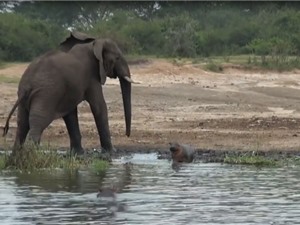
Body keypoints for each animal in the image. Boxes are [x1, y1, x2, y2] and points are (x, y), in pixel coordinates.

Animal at [2, 30, 134, 156]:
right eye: (117, 58)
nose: (127, 135)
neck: (93, 44)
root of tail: (28, 85)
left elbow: (70, 114)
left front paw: (78, 154)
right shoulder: (92, 77)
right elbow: (99, 106)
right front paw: (111, 153)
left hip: (26, 97)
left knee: (22, 124)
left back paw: (15, 158)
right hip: (46, 95)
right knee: (37, 123)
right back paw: (30, 156)